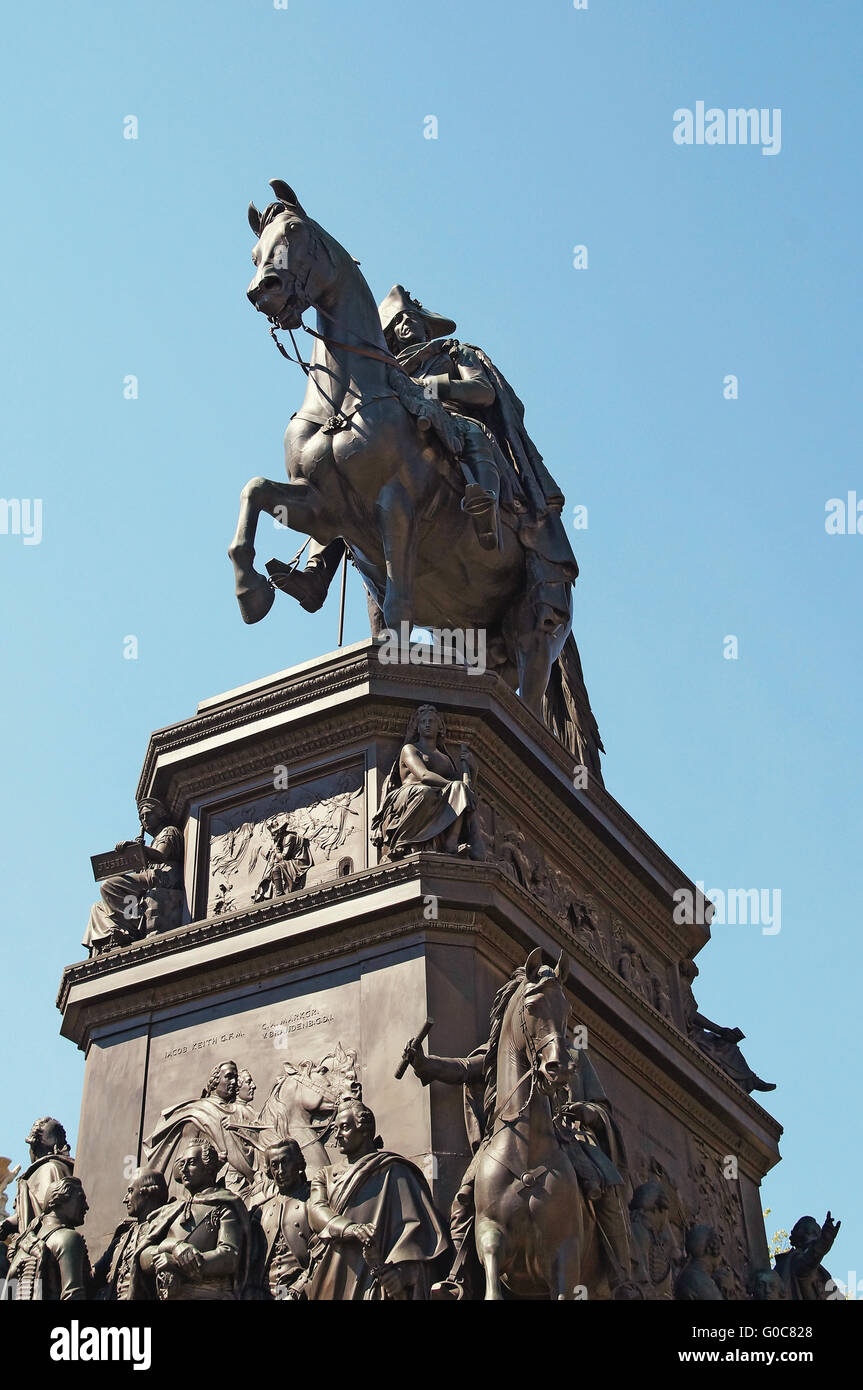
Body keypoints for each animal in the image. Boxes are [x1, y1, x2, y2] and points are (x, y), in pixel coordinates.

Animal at [472, 950, 586, 1295]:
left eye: (567, 1009)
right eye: (532, 1006)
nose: (558, 1067)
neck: (526, 1153)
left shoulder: (566, 1252)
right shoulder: (490, 1231)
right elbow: (491, 1279)